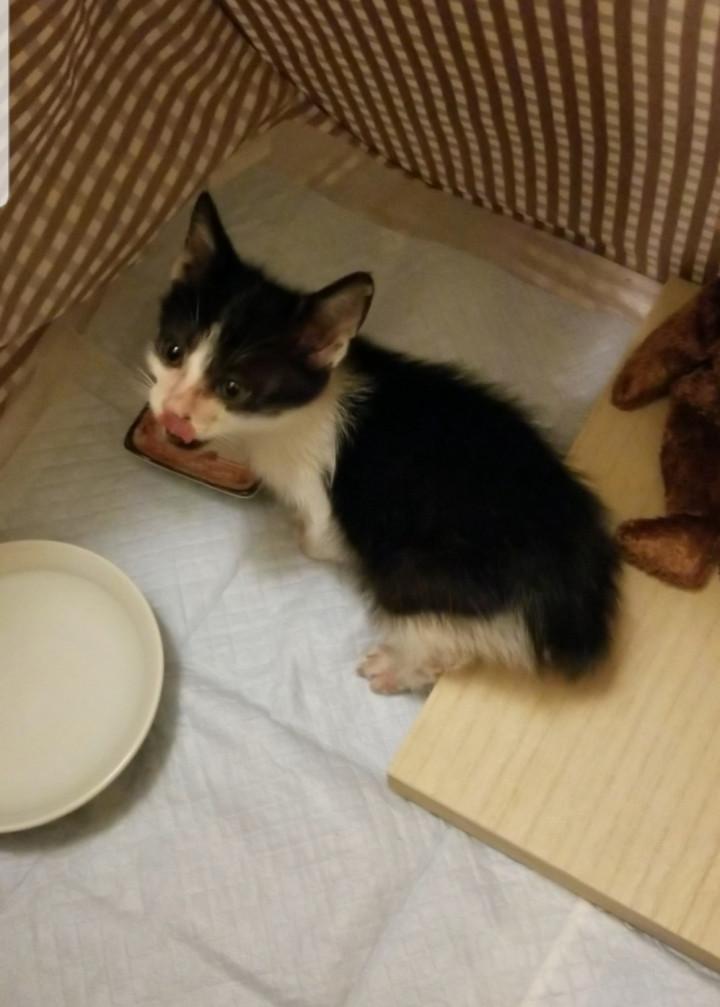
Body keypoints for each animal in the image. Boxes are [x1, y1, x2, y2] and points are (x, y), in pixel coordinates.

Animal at [147, 191, 619, 694]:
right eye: (172, 351)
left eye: (233, 388)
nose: (172, 411)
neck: (287, 419)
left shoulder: (323, 498)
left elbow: (322, 539)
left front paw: (304, 535)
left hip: (419, 567)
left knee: (446, 637)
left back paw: (398, 666)